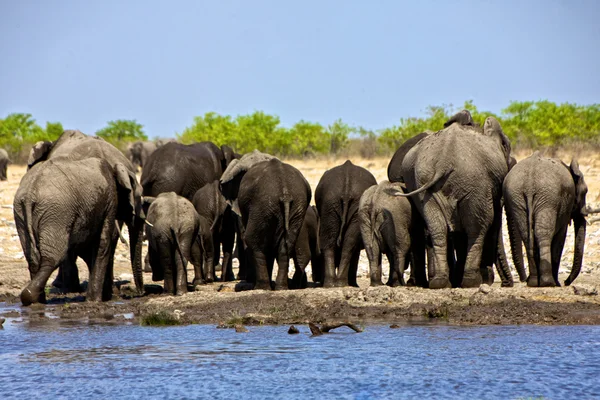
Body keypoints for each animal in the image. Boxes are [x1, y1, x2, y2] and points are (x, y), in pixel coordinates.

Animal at [15, 156, 140, 304]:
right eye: (139, 198)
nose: (140, 293)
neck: (115, 168)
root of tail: (30, 192)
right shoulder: (110, 200)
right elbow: (102, 244)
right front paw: (95, 301)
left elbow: (85, 249)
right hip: (57, 212)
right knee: (53, 257)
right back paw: (30, 296)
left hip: (21, 212)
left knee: (33, 259)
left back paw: (37, 301)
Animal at [314, 159, 376, 288]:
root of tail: (346, 187)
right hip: (339, 203)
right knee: (346, 244)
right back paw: (339, 284)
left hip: (330, 203)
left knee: (336, 242)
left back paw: (333, 284)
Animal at [394, 115, 510, 288]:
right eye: (506, 145)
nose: (507, 284)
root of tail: (443, 161)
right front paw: (484, 278)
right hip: (475, 182)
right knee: (478, 227)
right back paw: (471, 281)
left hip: (422, 184)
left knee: (438, 228)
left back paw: (440, 282)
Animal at [504, 152, 588, 288]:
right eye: (585, 191)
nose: (566, 282)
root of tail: (529, 184)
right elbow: (560, 237)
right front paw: (557, 283)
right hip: (549, 198)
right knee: (543, 234)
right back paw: (548, 282)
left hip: (516, 197)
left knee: (527, 235)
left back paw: (533, 282)